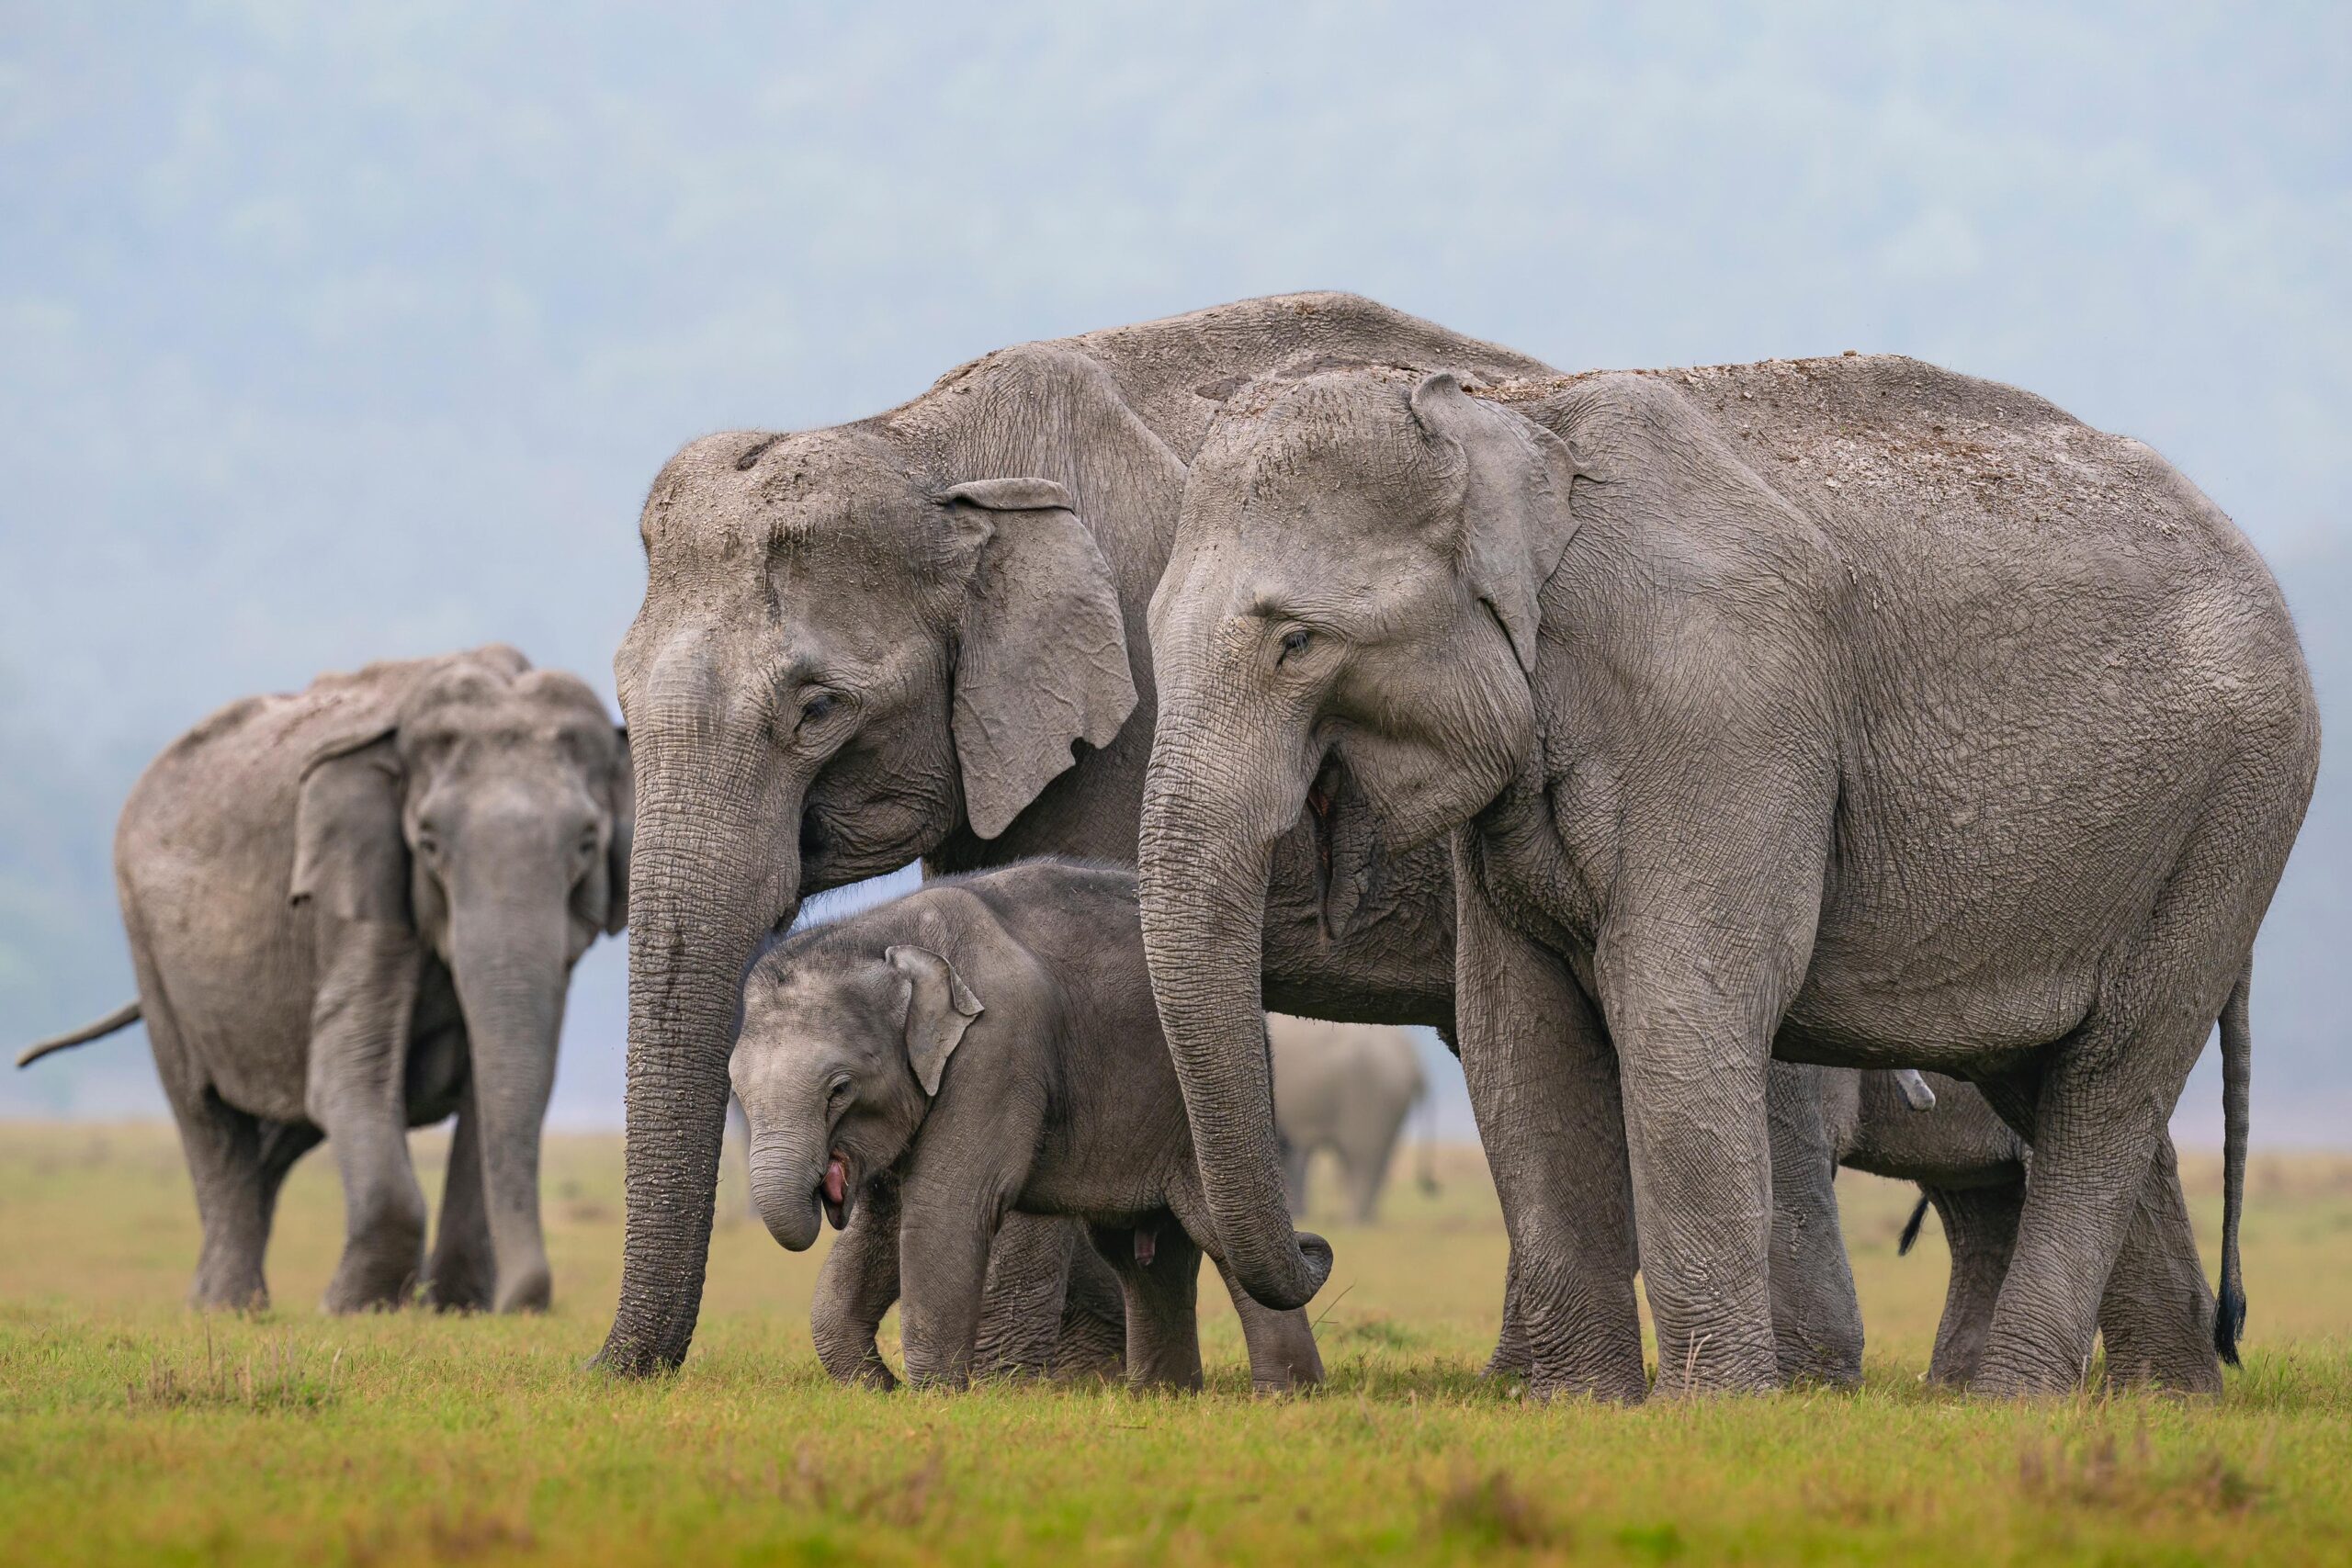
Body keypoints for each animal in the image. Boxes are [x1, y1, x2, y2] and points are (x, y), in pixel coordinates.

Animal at [11, 644, 635, 1316]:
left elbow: (499, 1082)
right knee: (203, 1108)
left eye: (587, 843)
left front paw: (453, 1309)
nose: (526, 1303)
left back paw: (218, 1298)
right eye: (429, 843)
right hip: (146, 941)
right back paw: (225, 1307)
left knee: (282, 1128)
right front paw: (353, 1309)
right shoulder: (354, 888)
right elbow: (349, 1070)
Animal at [724, 860, 1336, 1401]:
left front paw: (933, 1398)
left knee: (1214, 1232)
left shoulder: (998, 1047)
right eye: (739, 1092)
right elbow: (882, 1222)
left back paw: (1285, 1397)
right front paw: (875, 1389)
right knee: (1146, 1252)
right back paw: (1164, 1397)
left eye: (841, 1088)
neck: (885, 934)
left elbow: (944, 1206)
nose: (828, 1189)